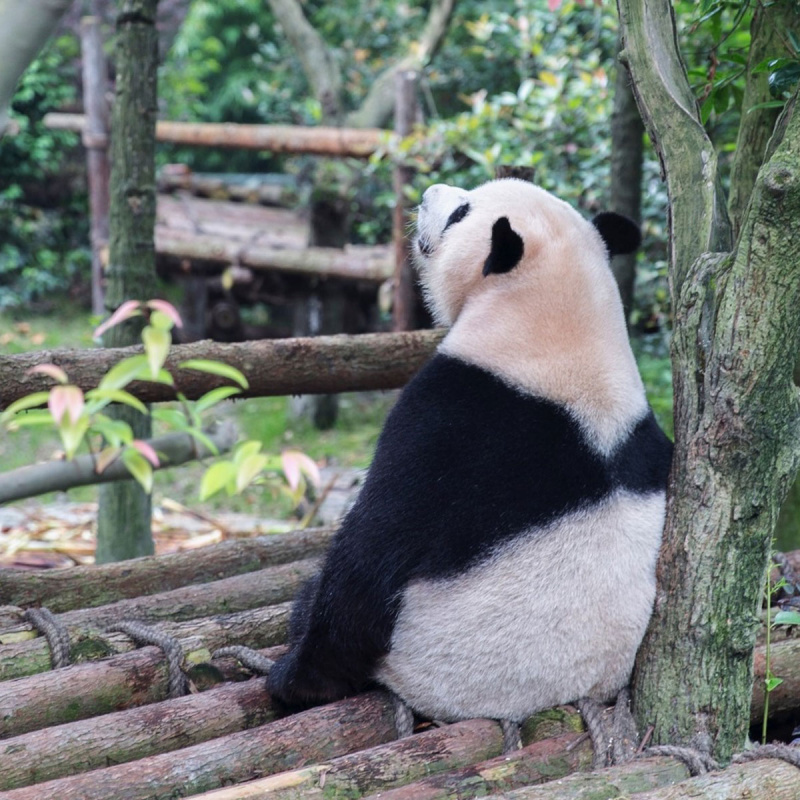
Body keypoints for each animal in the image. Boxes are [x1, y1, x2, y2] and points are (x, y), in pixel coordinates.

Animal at [270, 178, 676, 728]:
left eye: (461, 211)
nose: (428, 193)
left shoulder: (448, 421)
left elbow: (372, 550)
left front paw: (297, 680)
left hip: (421, 654)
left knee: (322, 595)